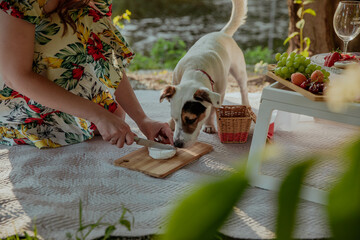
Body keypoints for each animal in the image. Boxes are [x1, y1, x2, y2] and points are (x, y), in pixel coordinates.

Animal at [159, 0, 249, 148]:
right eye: (175, 117)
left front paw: (209, 125)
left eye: (191, 120)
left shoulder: (219, 93)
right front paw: (170, 124)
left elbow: (212, 110)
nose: (177, 144)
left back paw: (245, 102)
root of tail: (222, 33)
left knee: (243, 88)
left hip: (239, 70)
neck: (196, 69)